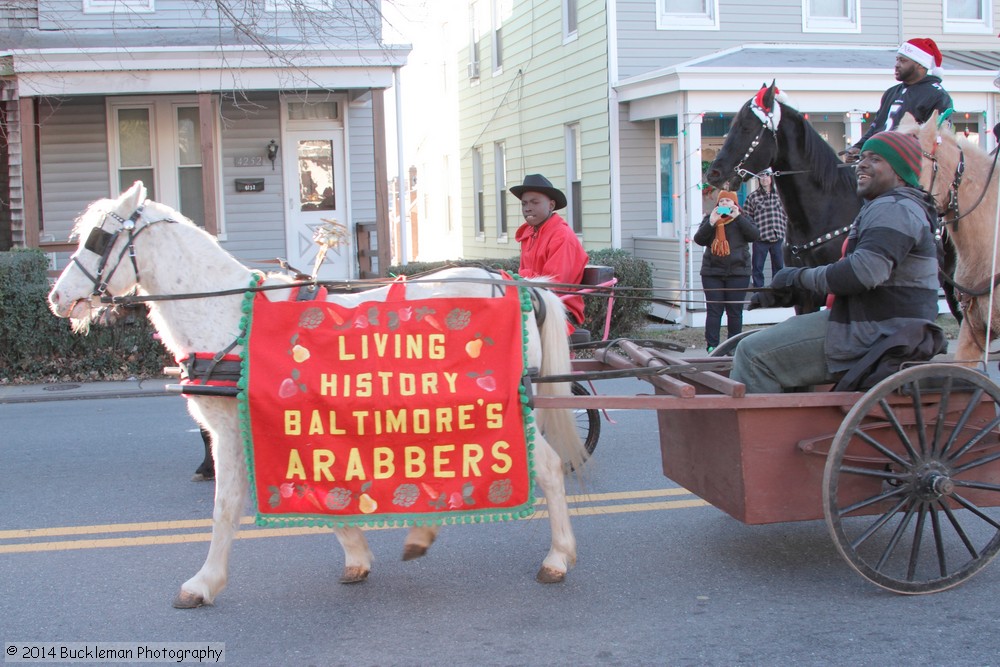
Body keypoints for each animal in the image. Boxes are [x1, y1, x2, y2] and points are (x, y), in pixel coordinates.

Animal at [50, 180, 588, 608]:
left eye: (99, 237)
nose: (57, 297)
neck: (228, 315)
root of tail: (517, 282)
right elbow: (313, 491)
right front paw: (357, 555)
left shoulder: (230, 429)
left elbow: (228, 505)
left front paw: (202, 584)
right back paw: (424, 533)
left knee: (546, 467)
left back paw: (558, 557)